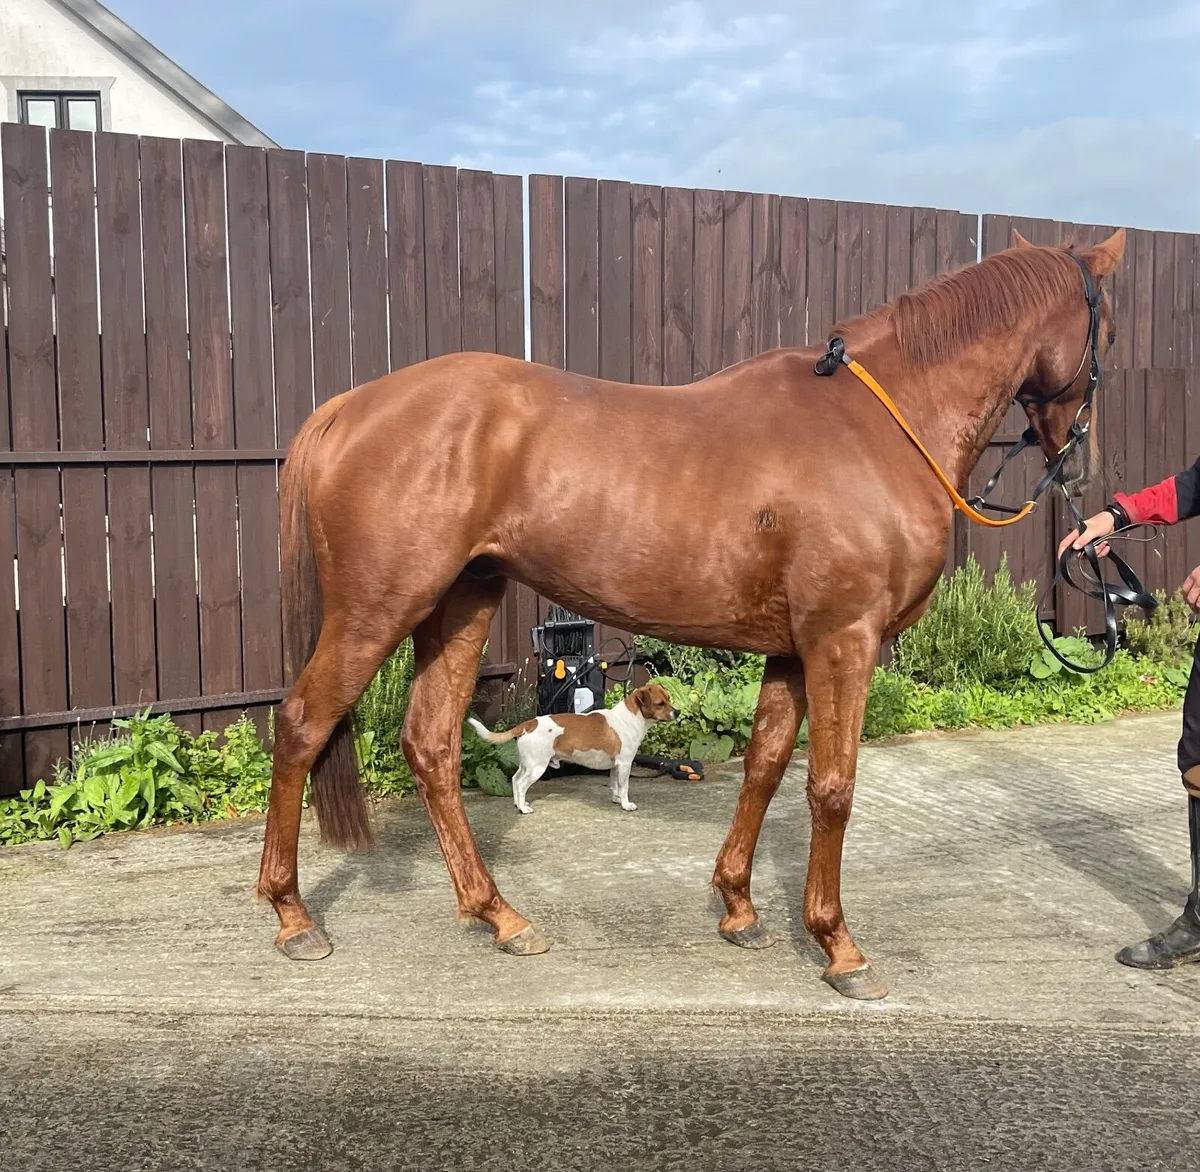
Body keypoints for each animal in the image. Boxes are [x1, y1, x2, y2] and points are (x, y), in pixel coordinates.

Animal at [255, 226, 1126, 1000]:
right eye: (1107, 332)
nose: (1083, 468)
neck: (877, 425)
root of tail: (348, 407)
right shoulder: (844, 640)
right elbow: (833, 787)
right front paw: (840, 947)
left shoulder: (793, 649)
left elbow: (766, 767)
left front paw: (739, 907)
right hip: (378, 609)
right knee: (301, 724)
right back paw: (294, 918)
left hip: (460, 604)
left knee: (431, 744)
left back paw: (499, 915)